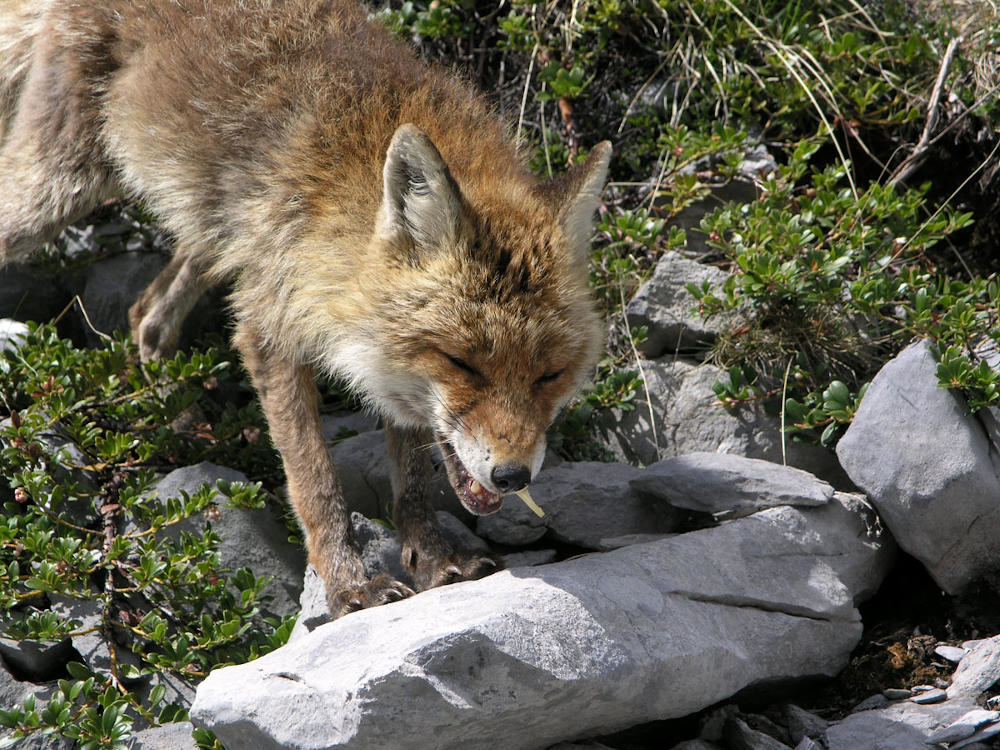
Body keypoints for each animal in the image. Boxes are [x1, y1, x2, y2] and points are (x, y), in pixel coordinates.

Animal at [0, 0, 608, 620]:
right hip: (58, 191)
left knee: (147, 314)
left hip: (215, 233)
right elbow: (316, 483)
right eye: (462, 363)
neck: (338, 206)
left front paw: (434, 559)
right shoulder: (269, 333)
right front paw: (348, 586)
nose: (512, 476)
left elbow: (413, 478)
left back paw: (175, 416)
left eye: (550, 375)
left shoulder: (377, 358)